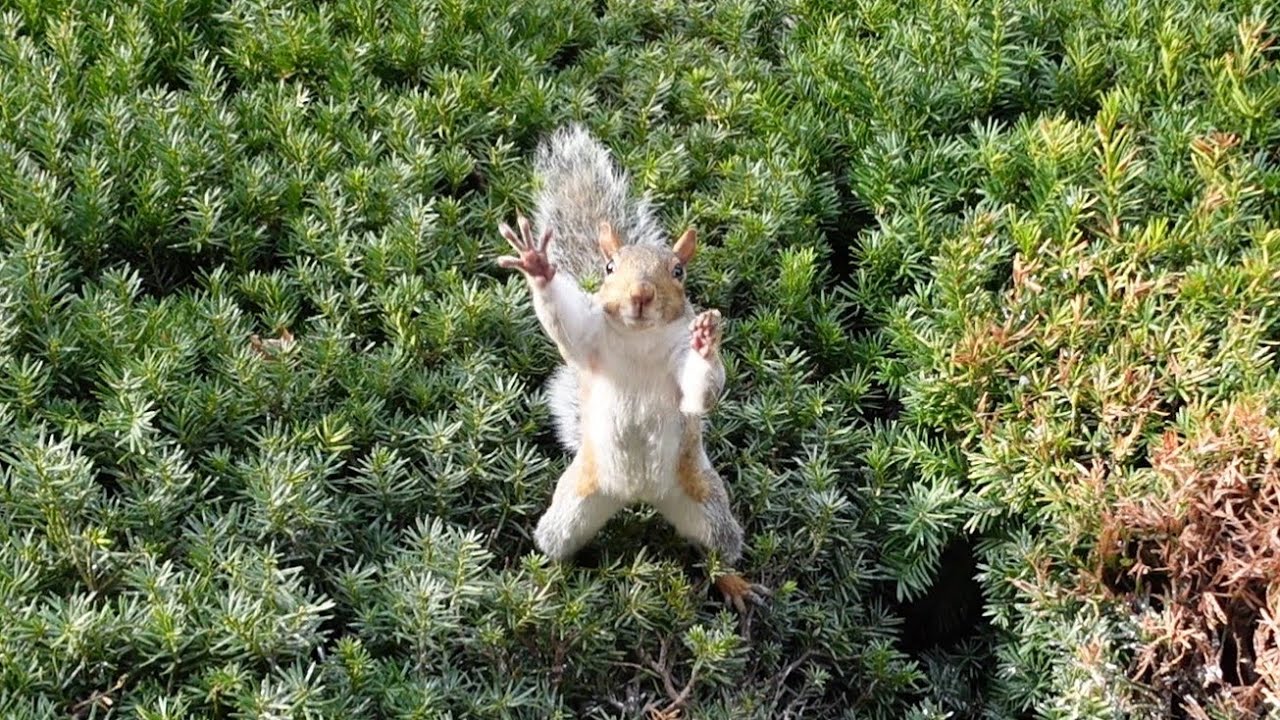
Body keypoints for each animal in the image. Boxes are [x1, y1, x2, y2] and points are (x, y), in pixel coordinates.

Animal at [496, 124, 769, 612]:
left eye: (678, 271)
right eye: (609, 267)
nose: (640, 294)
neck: (639, 341)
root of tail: (638, 495)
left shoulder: (680, 373)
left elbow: (701, 391)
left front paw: (706, 342)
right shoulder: (589, 343)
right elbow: (564, 325)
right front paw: (537, 265)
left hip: (704, 500)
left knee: (715, 551)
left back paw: (734, 583)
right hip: (574, 502)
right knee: (557, 546)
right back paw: (546, 585)